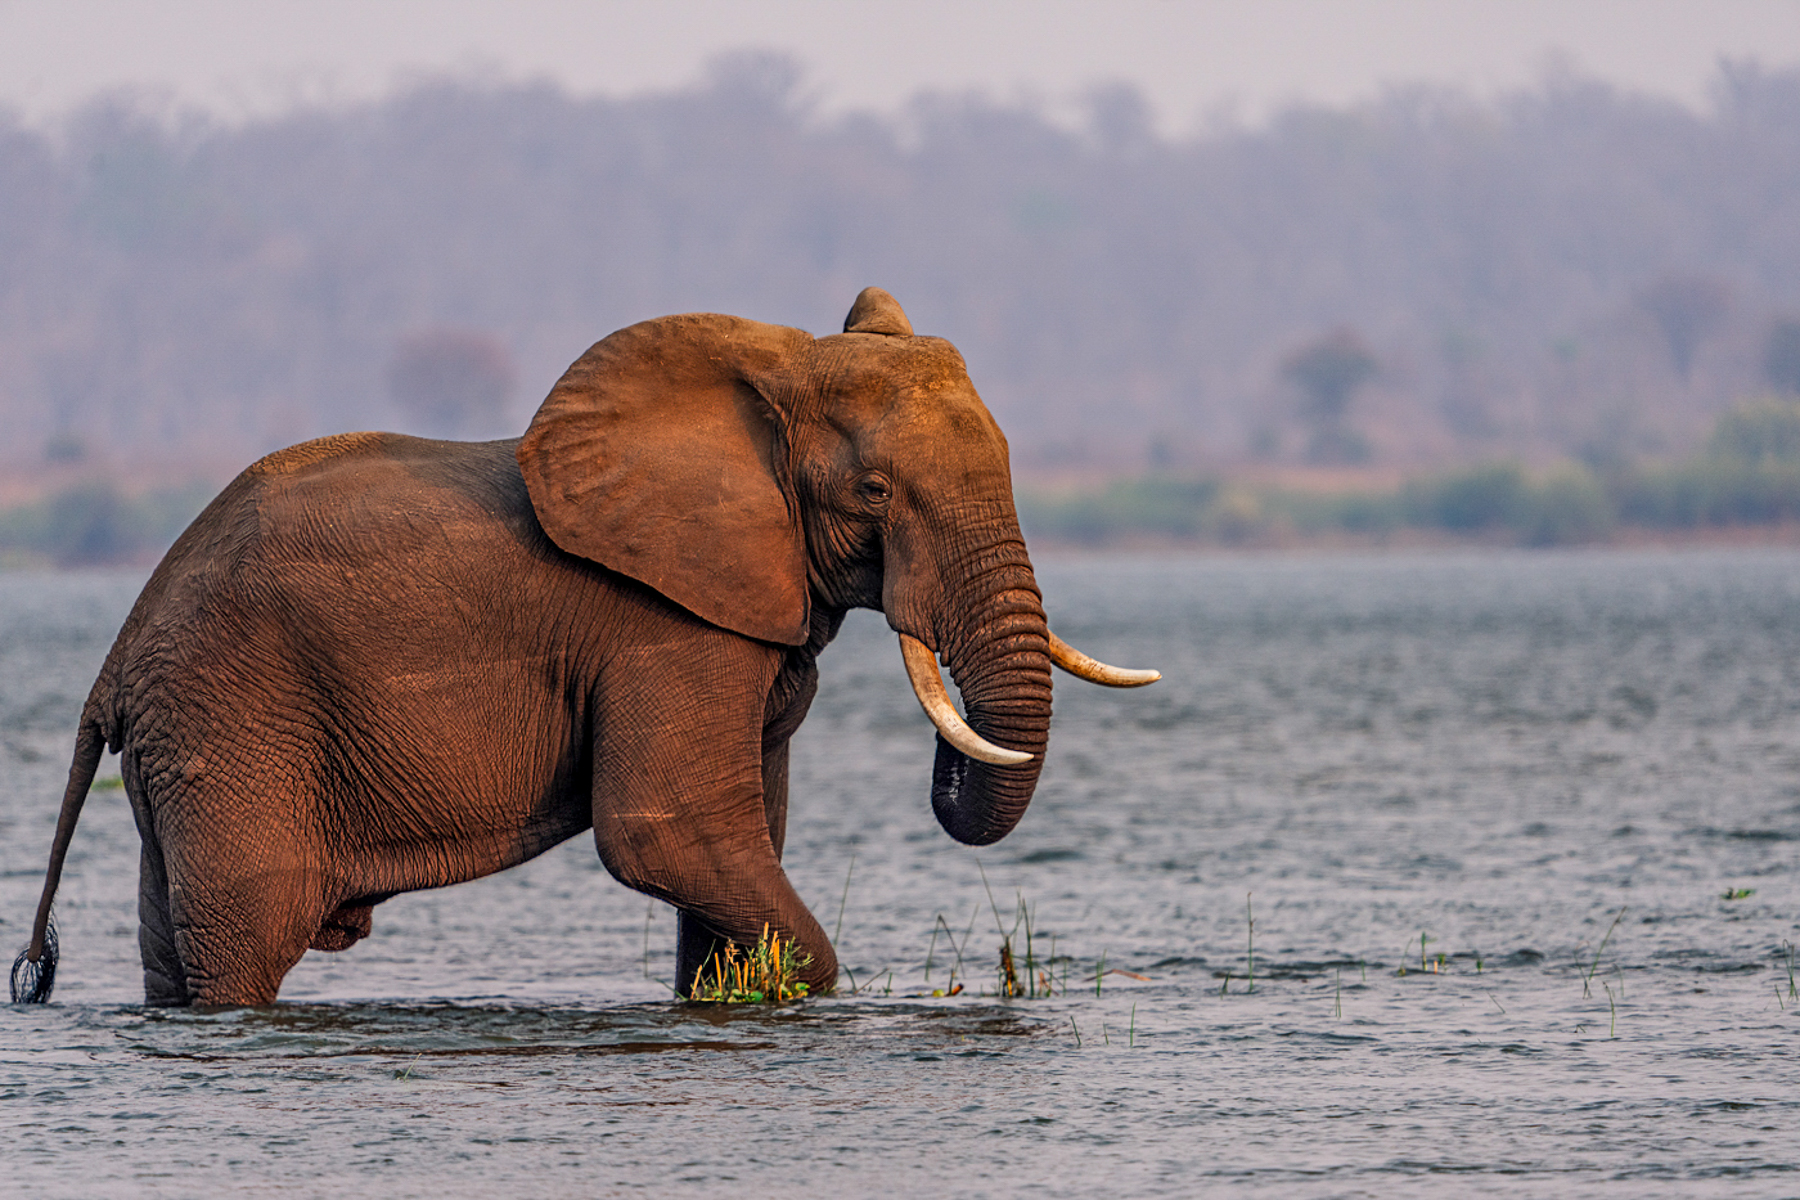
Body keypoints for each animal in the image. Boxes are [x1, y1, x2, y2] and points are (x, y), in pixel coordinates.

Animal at [10, 287, 1156, 1007]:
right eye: (874, 493)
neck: (778, 364)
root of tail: (116, 657)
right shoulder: (664, 628)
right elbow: (669, 832)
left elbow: (743, 848)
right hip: (234, 724)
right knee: (246, 937)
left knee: (171, 949)